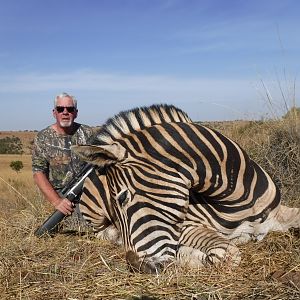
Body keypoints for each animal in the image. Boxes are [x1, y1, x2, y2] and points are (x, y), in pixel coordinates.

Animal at [72, 104, 300, 274]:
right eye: (116, 201)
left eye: (122, 198)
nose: (138, 268)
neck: (239, 201)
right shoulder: (187, 227)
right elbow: (225, 254)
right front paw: (187, 256)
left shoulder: (277, 213)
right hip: (95, 214)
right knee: (103, 233)